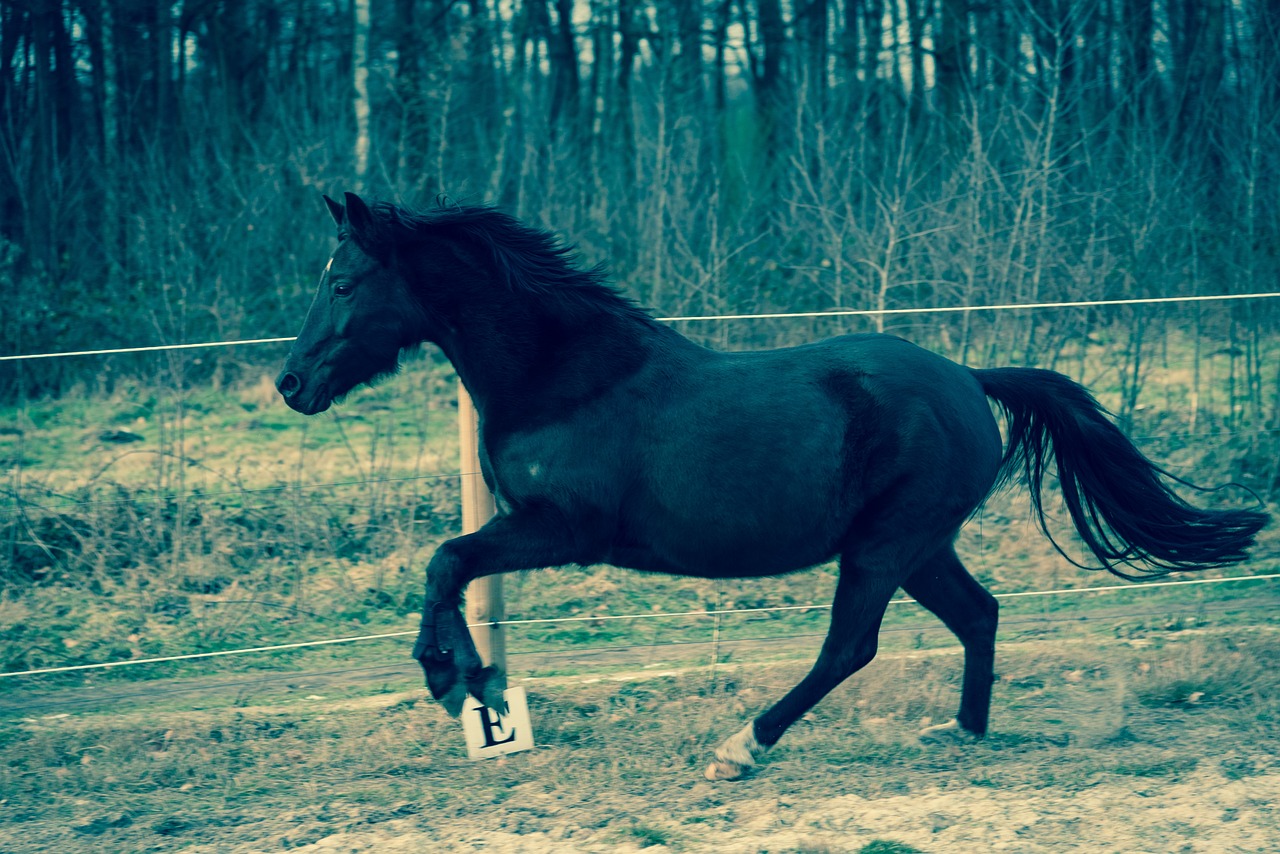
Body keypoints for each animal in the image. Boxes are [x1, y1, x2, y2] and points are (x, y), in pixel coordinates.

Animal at [275, 193, 1264, 783]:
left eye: (342, 281)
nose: (291, 384)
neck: (567, 376)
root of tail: (969, 379)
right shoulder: (537, 529)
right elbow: (450, 566)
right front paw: (473, 685)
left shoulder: (563, 529)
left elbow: (447, 561)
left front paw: (461, 681)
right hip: (918, 546)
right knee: (978, 615)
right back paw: (961, 733)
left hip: (882, 548)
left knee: (850, 649)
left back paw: (738, 750)